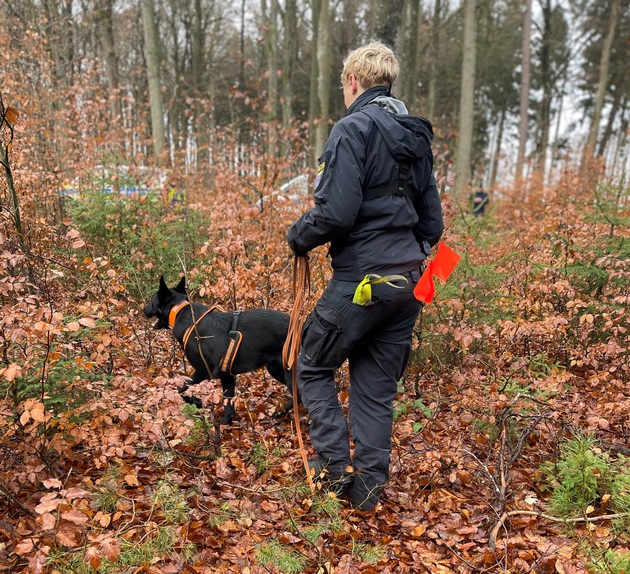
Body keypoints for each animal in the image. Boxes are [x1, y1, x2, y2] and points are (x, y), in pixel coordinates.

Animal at [146, 276, 296, 426]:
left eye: (151, 301)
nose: (143, 308)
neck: (180, 311)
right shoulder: (227, 375)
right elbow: (228, 403)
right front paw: (226, 422)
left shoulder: (203, 371)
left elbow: (181, 389)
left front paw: (196, 402)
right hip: (276, 369)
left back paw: (282, 412)